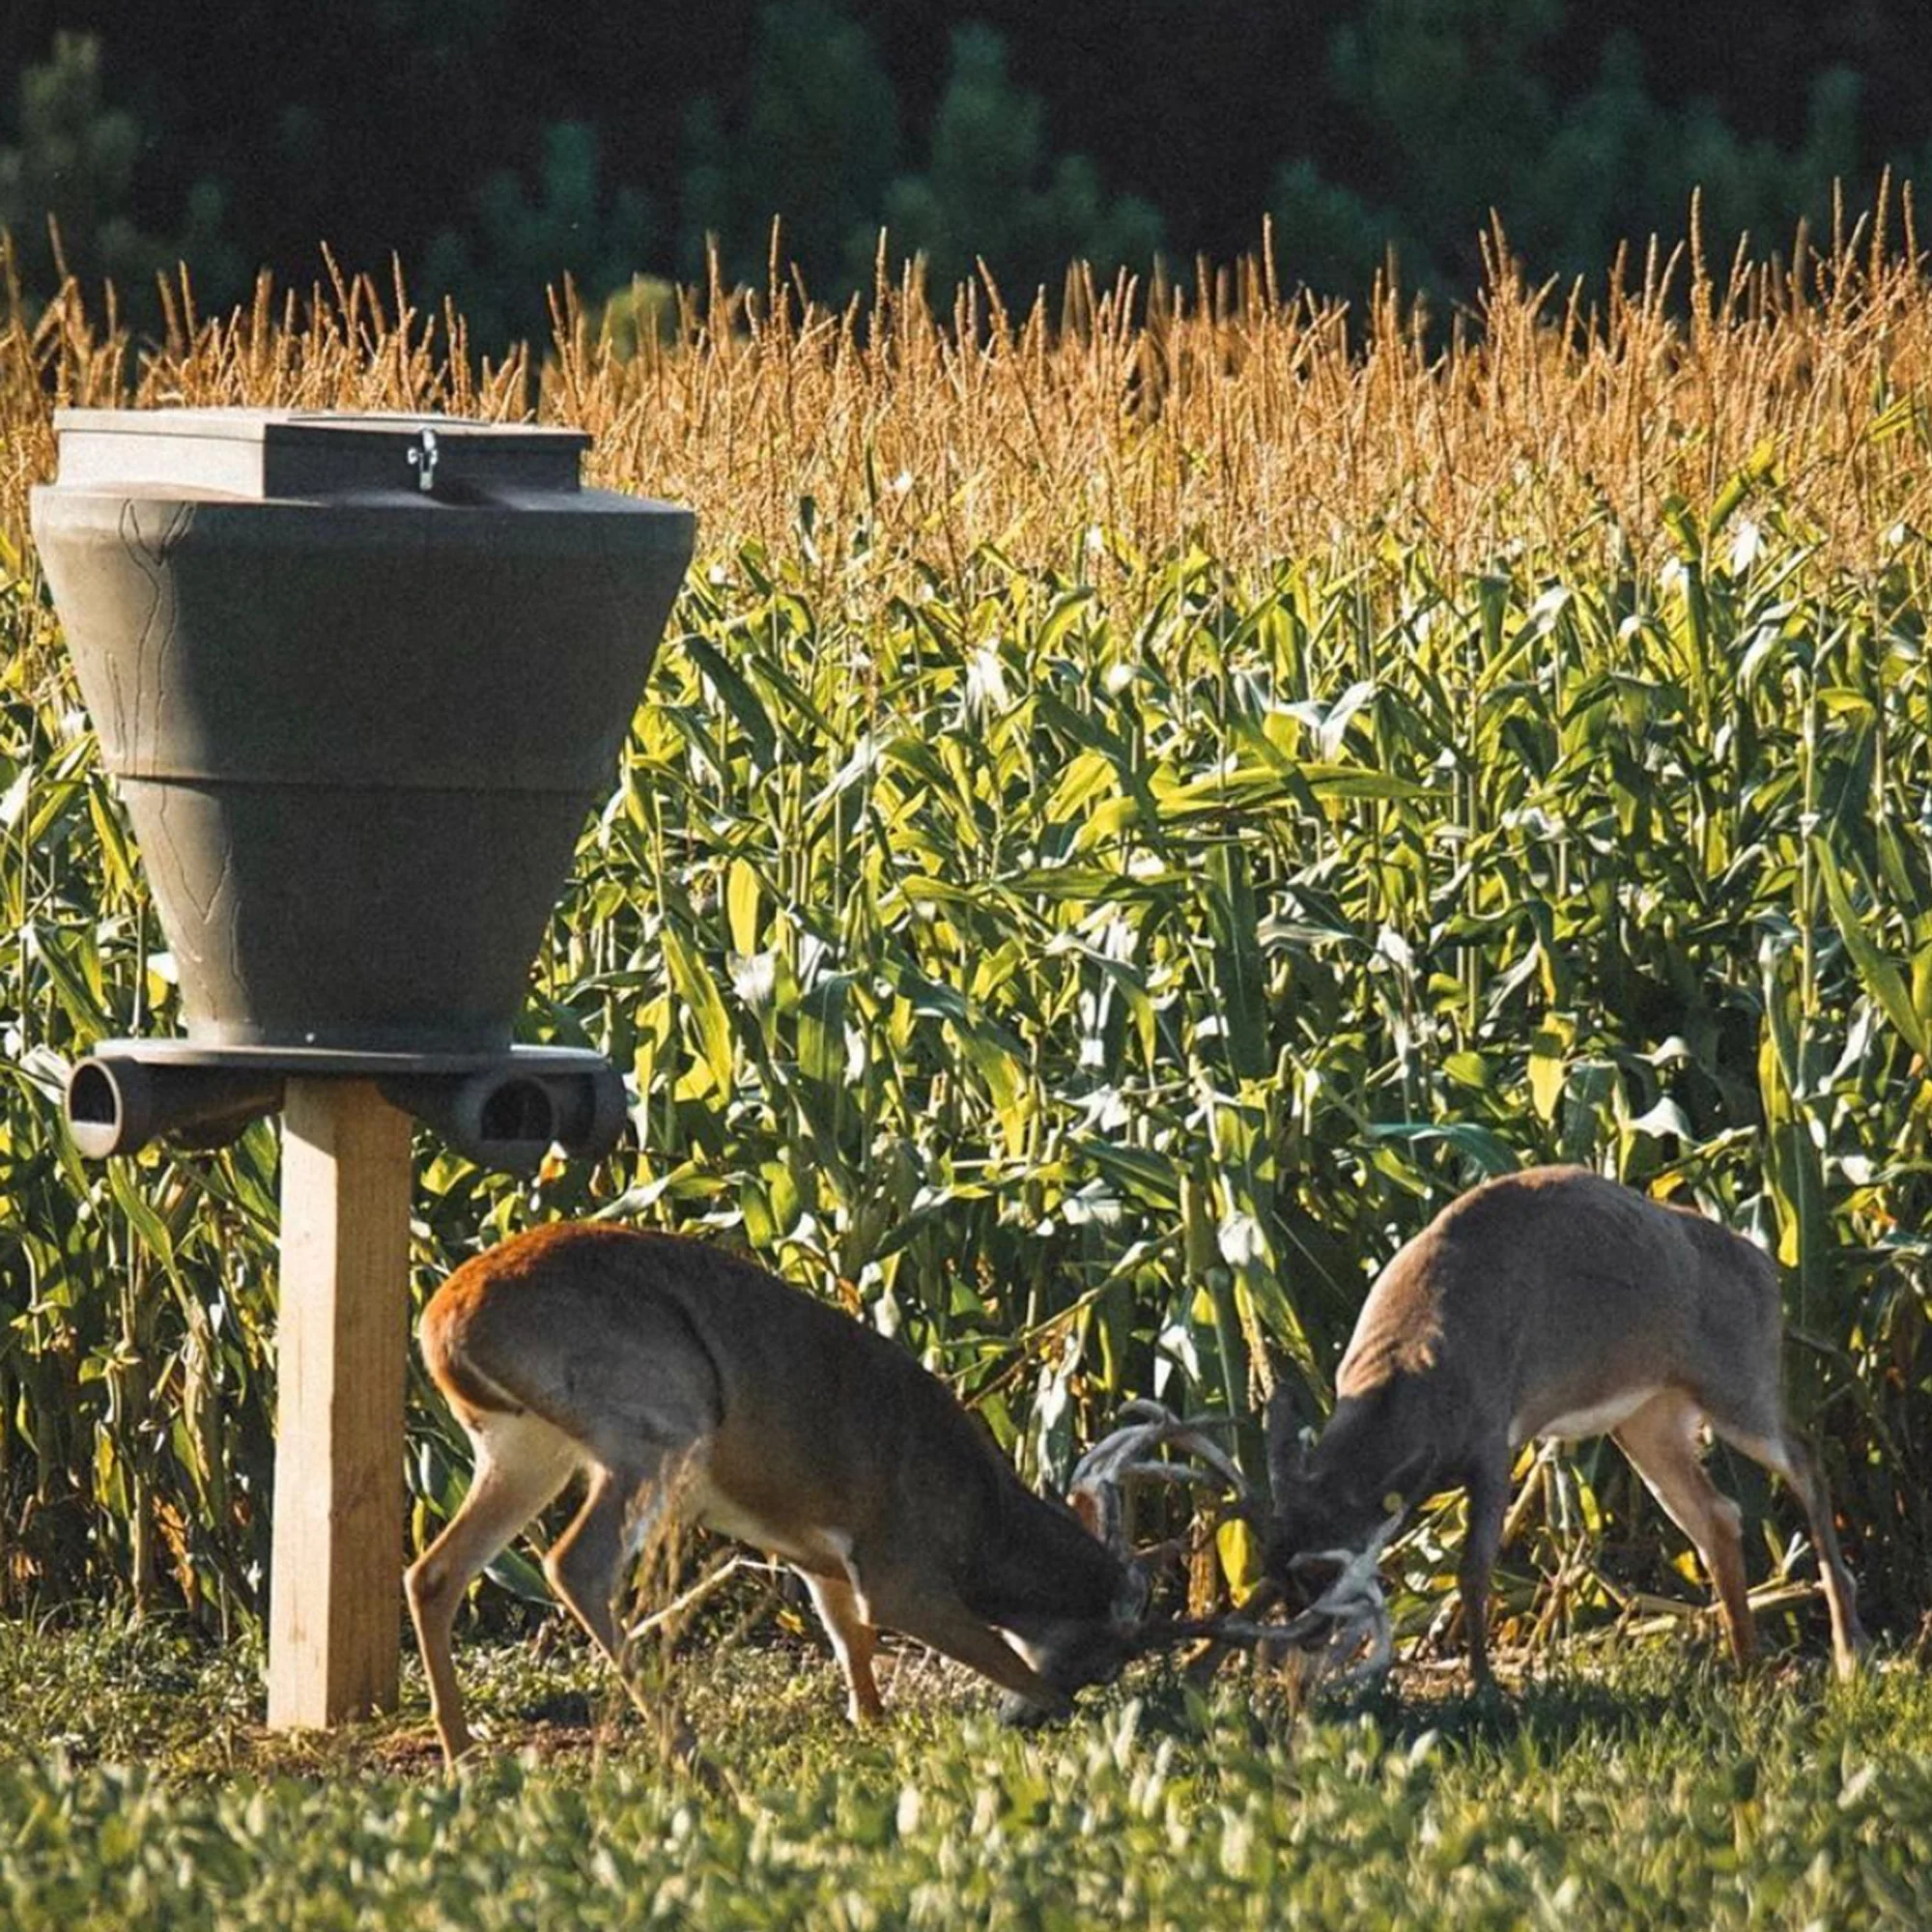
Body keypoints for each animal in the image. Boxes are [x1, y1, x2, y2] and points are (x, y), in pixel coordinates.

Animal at [405, 1221, 1242, 1766]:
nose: (1020, 1725)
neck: (983, 1524)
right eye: (1108, 1656)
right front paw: (1064, 1712)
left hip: (522, 1448)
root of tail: (444, 1326)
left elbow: (847, 1636)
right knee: (573, 1564)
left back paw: (461, 1748)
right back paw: (689, 1753)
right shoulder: (904, 1567)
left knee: (434, 1571)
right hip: (655, 1418)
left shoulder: (817, 1547)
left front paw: (870, 1720)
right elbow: (958, 1641)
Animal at [1259, 1166, 1867, 1688]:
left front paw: (1484, 1686)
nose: (1302, 1643)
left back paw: (1848, 1650)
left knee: (1805, 1457)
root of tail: (1765, 1265)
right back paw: (1746, 1664)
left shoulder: (1493, 1439)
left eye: (1326, 1570)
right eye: (1278, 1572)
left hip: (1739, 1381)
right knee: (1717, 1514)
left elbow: (1473, 1570)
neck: (1415, 1361)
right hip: (1646, 1417)